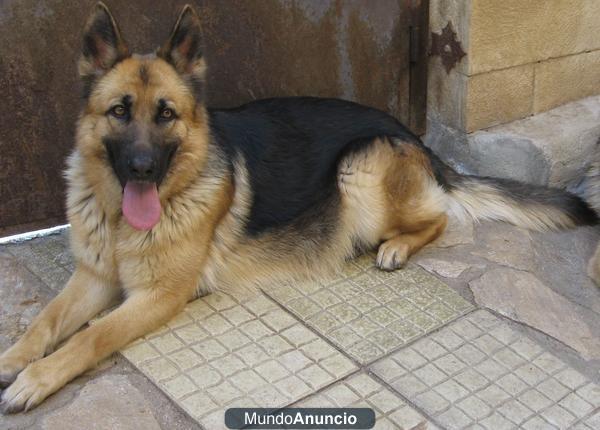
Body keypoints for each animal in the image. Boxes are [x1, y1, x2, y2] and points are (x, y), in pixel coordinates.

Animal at [0, 3, 596, 414]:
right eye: (120, 111)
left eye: (166, 114)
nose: (142, 168)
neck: (125, 218)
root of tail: (416, 137)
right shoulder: (95, 276)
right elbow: (47, 320)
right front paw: (12, 359)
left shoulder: (159, 295)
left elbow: (90, 336)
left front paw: (35, 379)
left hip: (358, 168)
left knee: (442, 217)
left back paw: (396, 248)